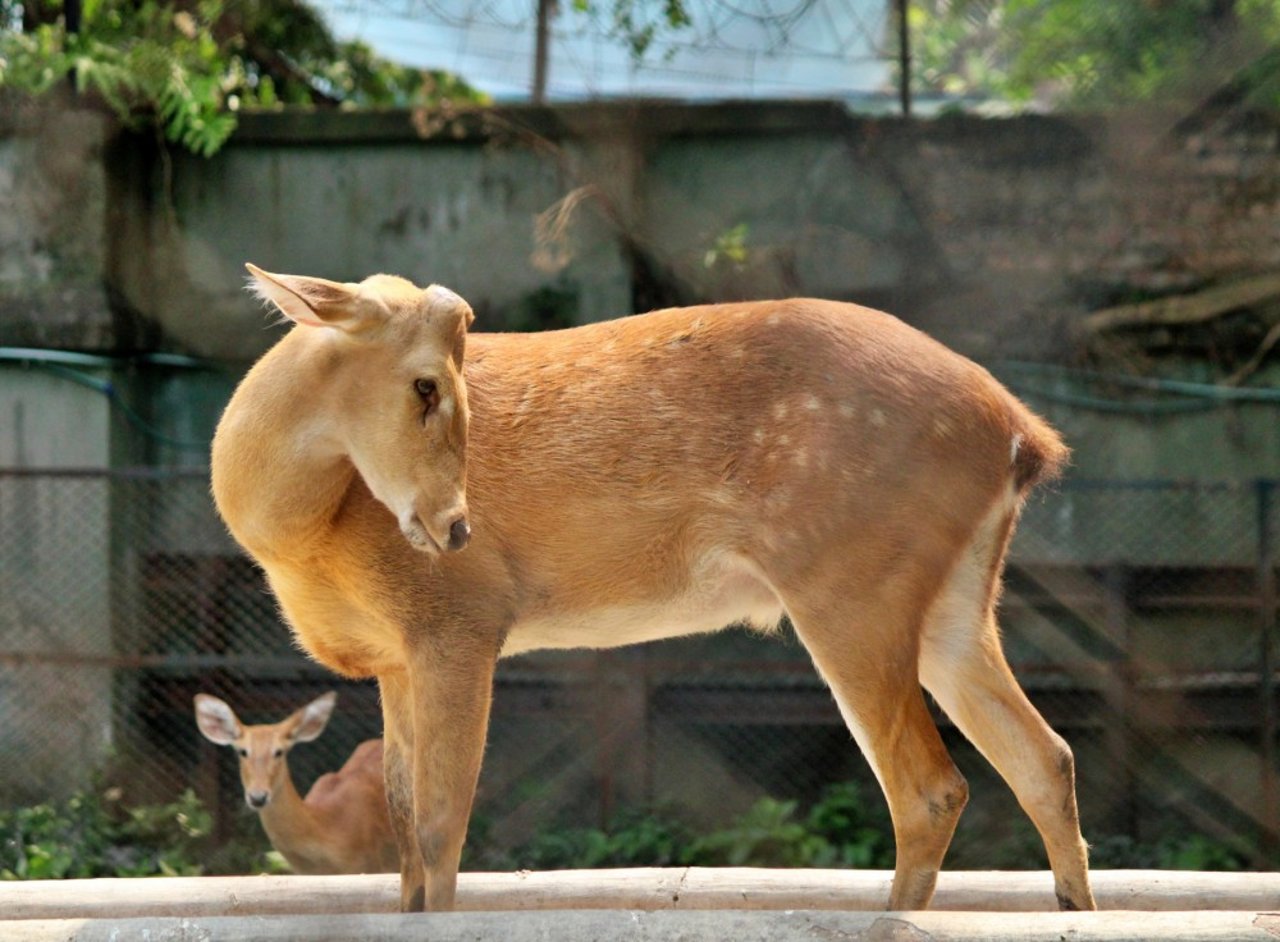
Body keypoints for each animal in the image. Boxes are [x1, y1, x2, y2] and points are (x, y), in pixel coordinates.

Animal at [215, 264, 1095, 911]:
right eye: (428, 384)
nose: (455, 528)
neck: (305, 536)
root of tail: (1024, 433)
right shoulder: (395, 655)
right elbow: (402, 835)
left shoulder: (457, 620)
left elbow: (438, 828)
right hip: (954, 597)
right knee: (1045, 758)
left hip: (849, 577)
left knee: (930, 788)